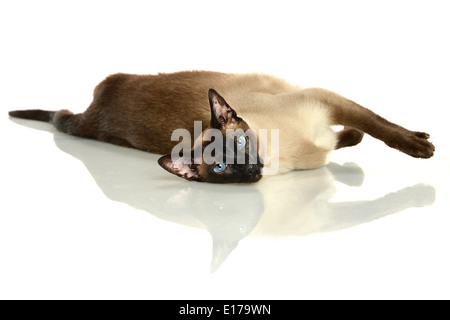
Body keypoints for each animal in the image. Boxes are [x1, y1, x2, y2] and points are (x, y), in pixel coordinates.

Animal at [7, 71, 436, 184]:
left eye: (242, 142)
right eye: (220, 167)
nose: (249, 168)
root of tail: (95, 104)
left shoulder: (328, 101)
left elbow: (376, 125)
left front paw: (420, 147)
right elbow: (360, 132)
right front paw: (424, 148)